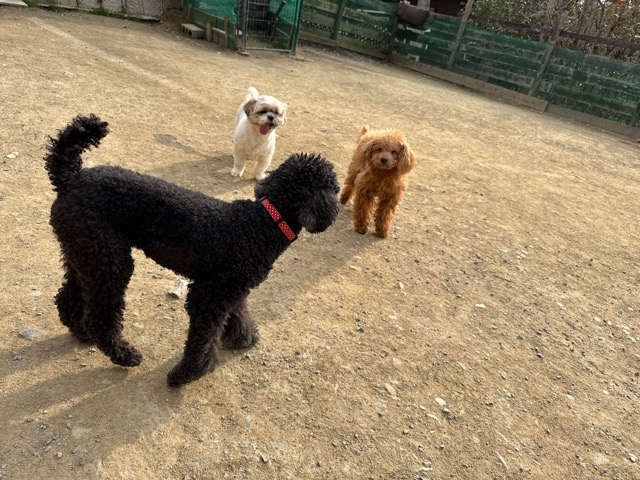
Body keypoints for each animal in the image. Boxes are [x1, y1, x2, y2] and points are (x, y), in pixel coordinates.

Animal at [45, 114, 340, 387]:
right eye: (335, 188)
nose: (335, 209)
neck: (264, 222)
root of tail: (70, 178)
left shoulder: (232, 287)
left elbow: (238, 313)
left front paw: (244, 337)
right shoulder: (210, 294)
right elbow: (203, 337)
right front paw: (188, 373)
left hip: (85, 254)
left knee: (68, 298)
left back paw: (81, 332)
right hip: (109, 261)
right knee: (100, 317)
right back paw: (124, 355)